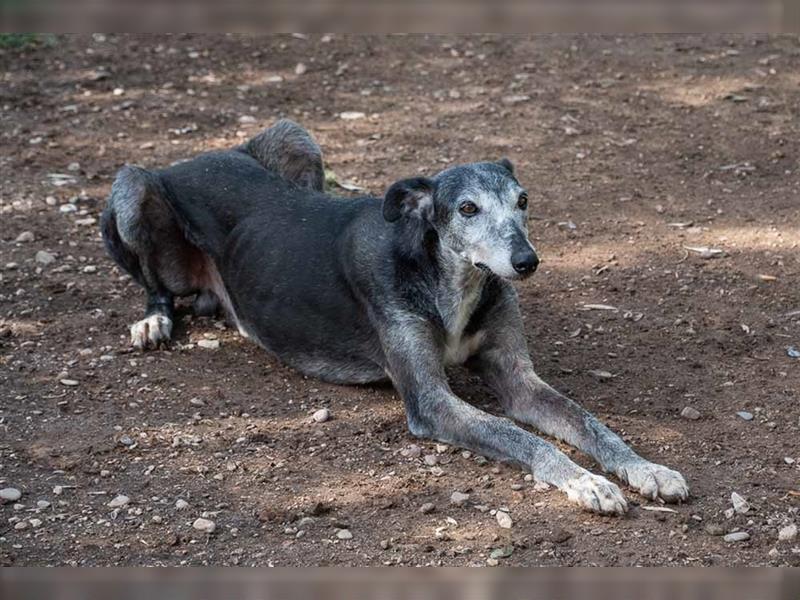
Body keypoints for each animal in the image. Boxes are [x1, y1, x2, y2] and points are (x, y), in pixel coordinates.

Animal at [100, 119, 688, 512]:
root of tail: (197, 156)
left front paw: (646, 468)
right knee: (153, 282)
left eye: (522, 201)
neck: (447, 278)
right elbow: (521, 435)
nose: (526, 262)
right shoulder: (431, 402)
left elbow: (590, 424)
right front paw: (586, 482)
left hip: (297, 138)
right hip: (131, 189)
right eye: (467, 208)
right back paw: (155, 320)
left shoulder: (519, 381)